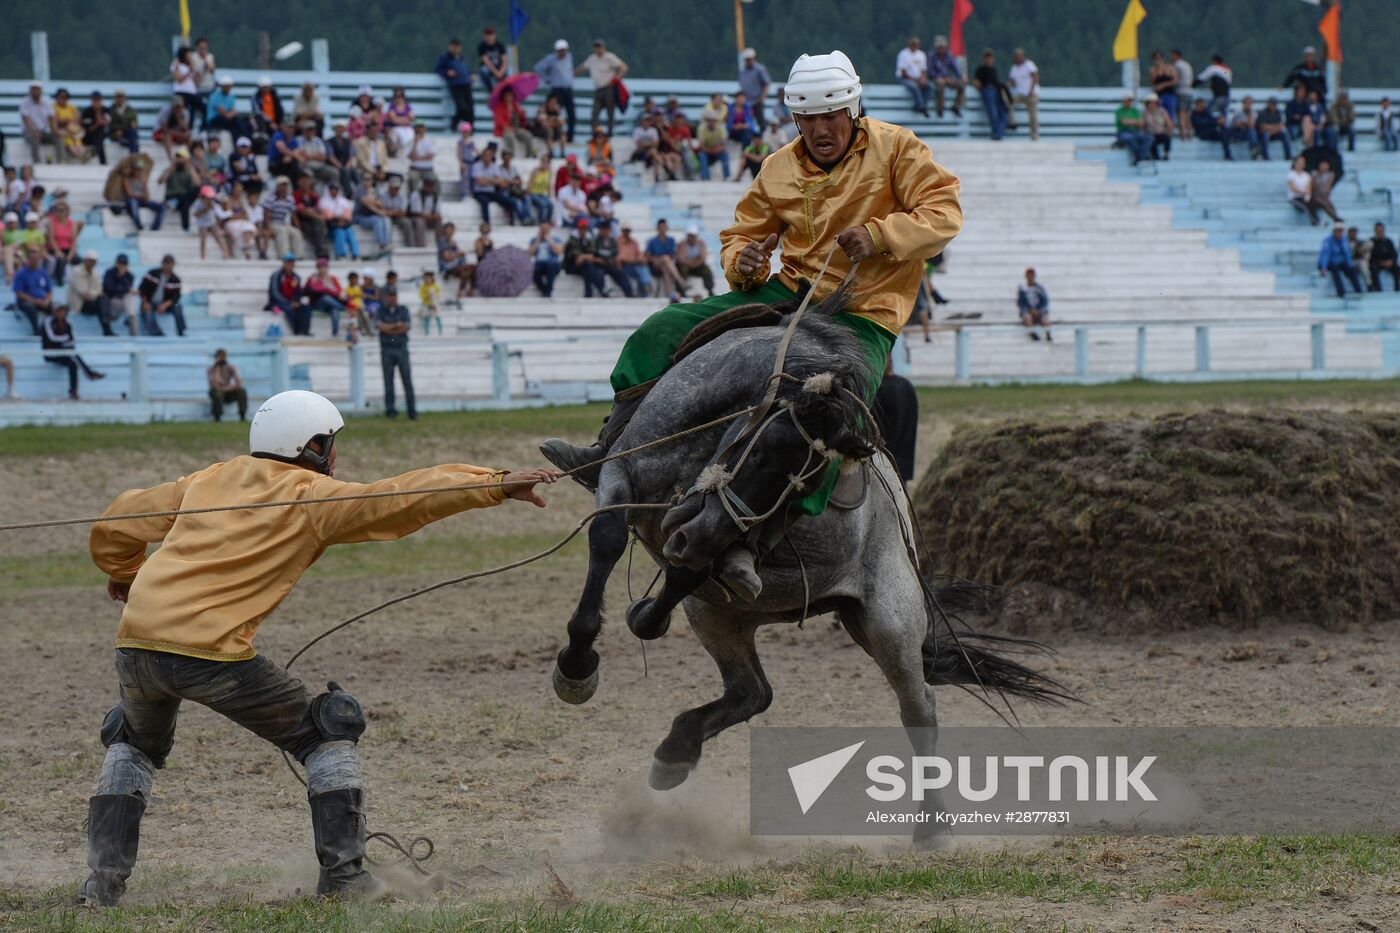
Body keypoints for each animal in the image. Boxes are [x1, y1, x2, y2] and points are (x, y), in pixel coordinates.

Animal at [551, 298, 1064, 840]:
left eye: (806, 492)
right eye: (758, 445)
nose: (701, 534)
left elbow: (676, 567)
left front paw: (582, 660)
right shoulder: (622, 474)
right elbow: (612, 539)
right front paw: (584, 657)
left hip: (890, 622)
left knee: (917, 708)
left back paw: (932, 826)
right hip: (721, 616)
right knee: (752, 691)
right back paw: (675, 751)